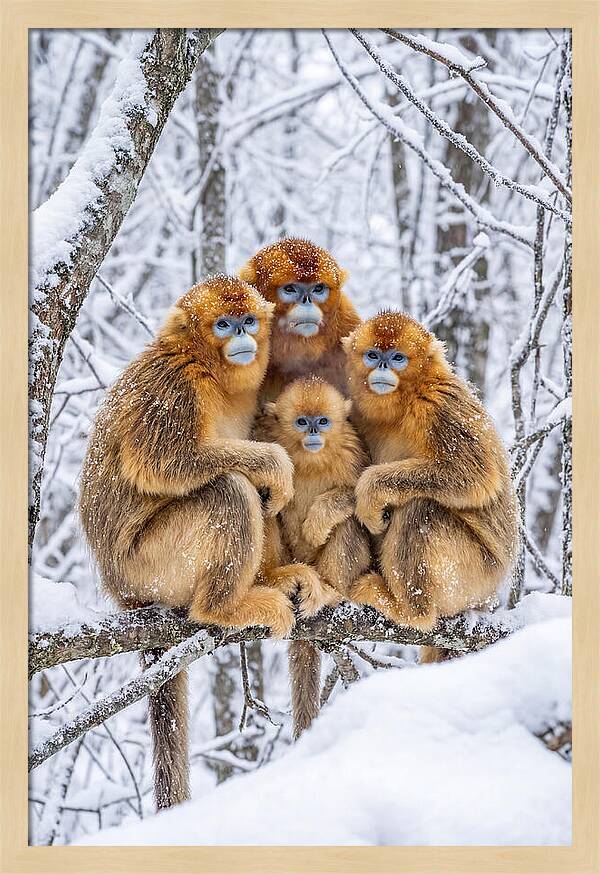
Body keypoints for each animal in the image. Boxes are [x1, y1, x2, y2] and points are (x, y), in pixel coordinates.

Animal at [79, 275, 310, 810]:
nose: (242, 335)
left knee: (255, 497)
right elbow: (164, 464)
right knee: (229, 489)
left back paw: (272, 579)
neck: (209, 369)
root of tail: (122, 591)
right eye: (223, 324)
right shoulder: (173, 388)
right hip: (151, 565)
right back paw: (224, 607)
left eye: (246, 320)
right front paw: (273, 461)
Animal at [261, 377, 373, 737]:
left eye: (322, 421)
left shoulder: (353, 451)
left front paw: (318, 522)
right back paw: (276, 579)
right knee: (265, 505)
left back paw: (330, 591)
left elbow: (361, 497)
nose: (312, 431)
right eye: (301, 421)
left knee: (349, 523)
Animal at [342, 311, 518, 661]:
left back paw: (411, 611)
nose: (383, 367)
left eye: (397, 358)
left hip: (474, 576)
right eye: (373, 355)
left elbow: (475, 476)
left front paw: (371, 490)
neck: (405, 401)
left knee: (420, 509)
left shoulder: (438, 404)